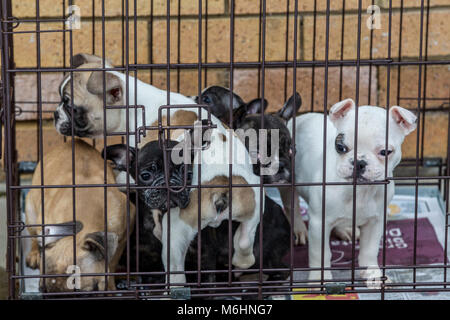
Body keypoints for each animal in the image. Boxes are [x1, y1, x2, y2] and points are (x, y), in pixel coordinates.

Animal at [25, 139, 134, 292]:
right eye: (42, 290)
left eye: (88, 291)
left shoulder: (124, 233)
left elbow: (111, 262)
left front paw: (110, 287)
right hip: (31, 212)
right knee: (34, 236)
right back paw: (34, 253)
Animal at [55, 53, 264, 284]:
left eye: (70, 106)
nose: (55, 114)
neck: (135, 103)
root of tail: (221, 187)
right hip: (255, 196)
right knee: (246, 239)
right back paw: (241, 260)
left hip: (175, 233)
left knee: (176, 271)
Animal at [290, 99, 416, 286]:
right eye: (340, 146)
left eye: (385, 152)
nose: (359, 162)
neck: (360, 190)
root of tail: (300, 118)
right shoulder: (319, 222)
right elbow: (320, 254)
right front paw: (319, 280)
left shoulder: (376, 221)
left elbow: (369, 250)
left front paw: (373, 274)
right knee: (290, 204)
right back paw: (298, 229)